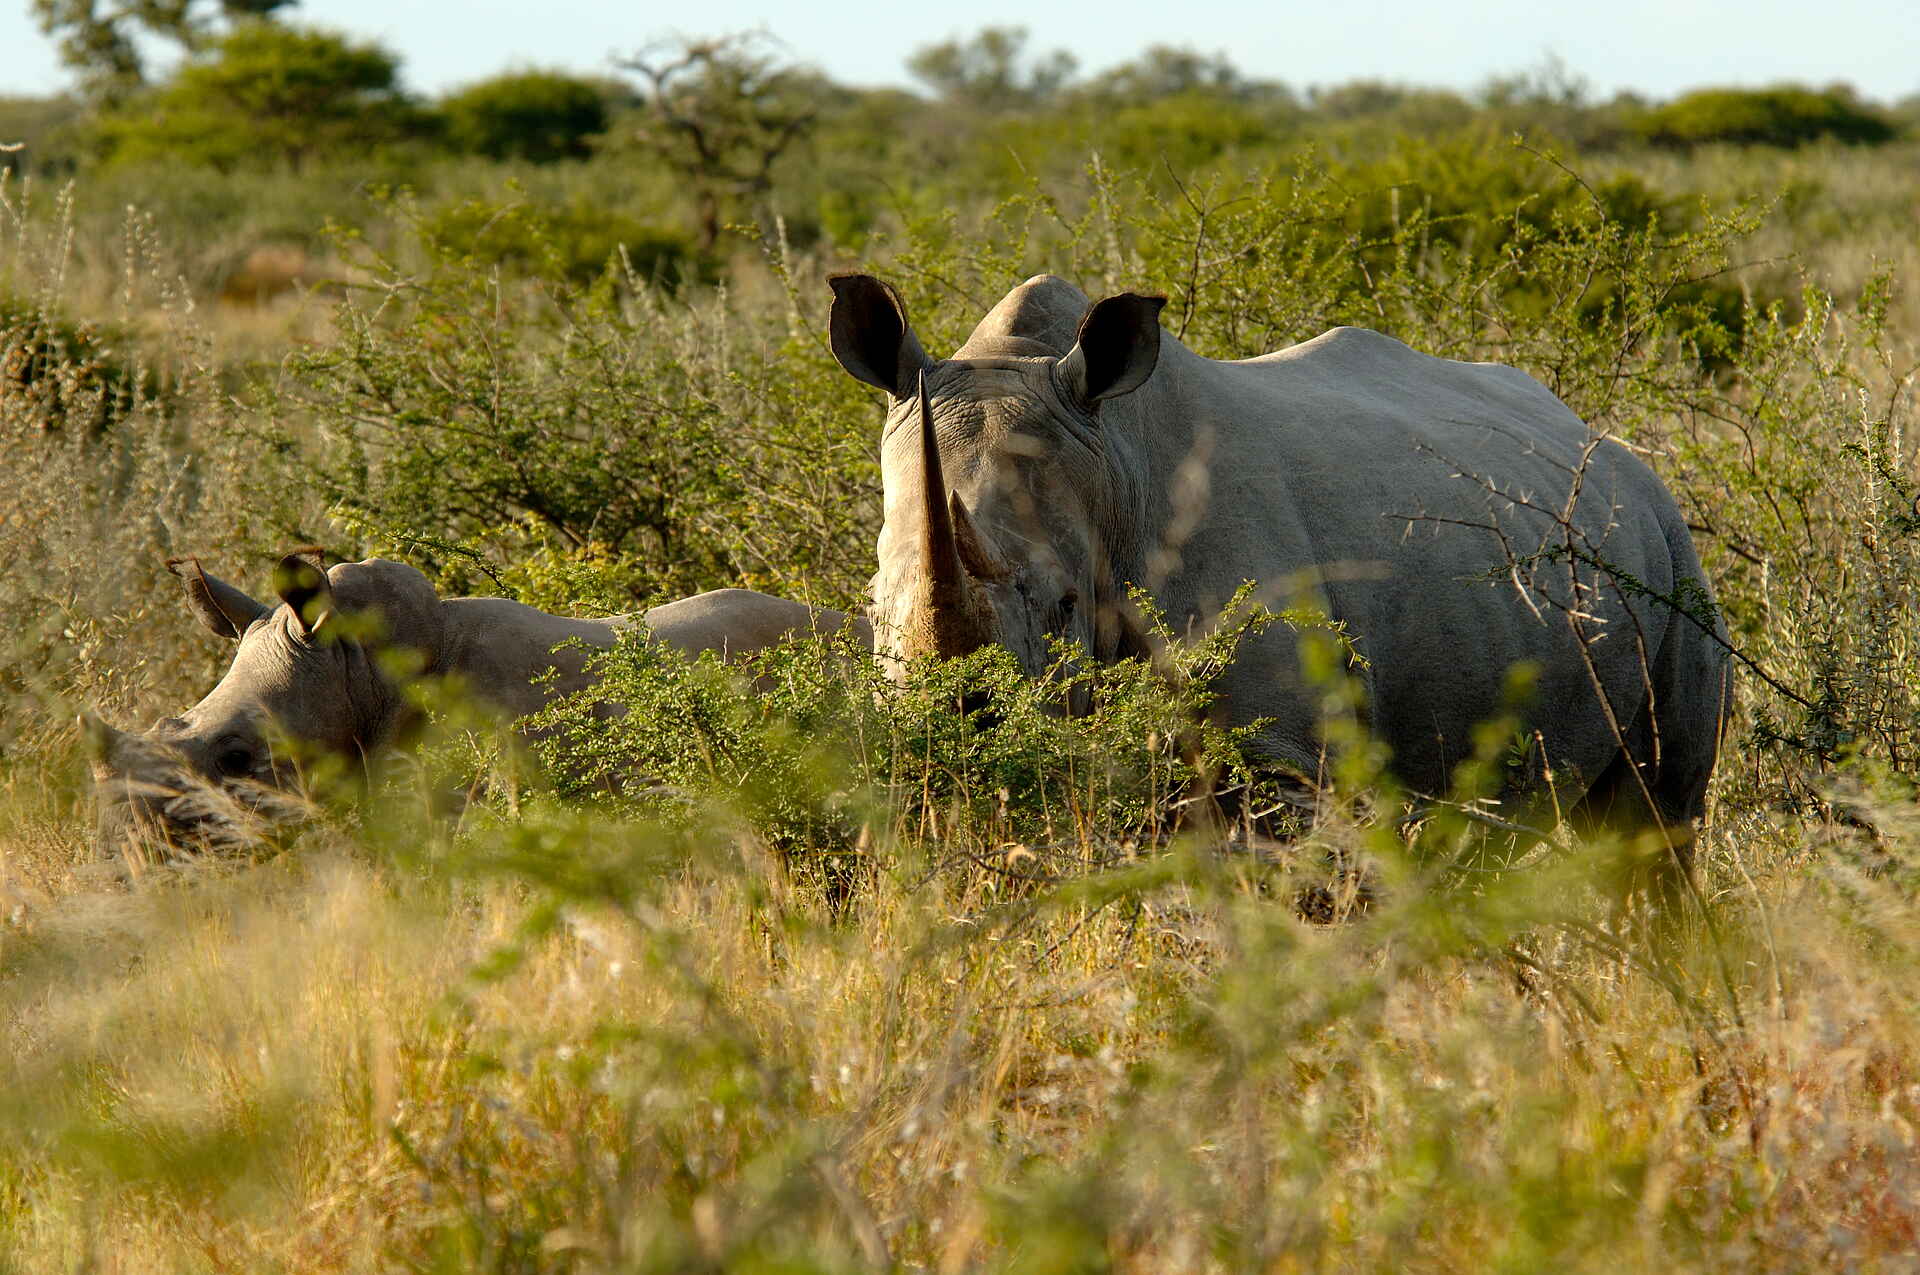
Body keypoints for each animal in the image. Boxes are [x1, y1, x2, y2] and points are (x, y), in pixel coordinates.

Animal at [829, 273, 1730, 857]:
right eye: (872, 605)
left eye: (1063, 605)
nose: (939, 742)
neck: (1115, 466)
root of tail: (1605, 442)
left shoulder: (1280, 756)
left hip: (1670, 548)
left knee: (1656, 817)